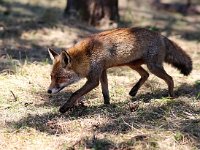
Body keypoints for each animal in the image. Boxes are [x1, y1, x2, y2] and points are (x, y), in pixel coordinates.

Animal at [47, 27, 192, 113]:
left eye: (59, 78)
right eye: (51, 77)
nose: (48, 91)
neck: (87, 56)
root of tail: (160, 35)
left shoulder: (94, 79)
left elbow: (75, 93)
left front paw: (64, 108)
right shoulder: (103, 71)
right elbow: (105, 92)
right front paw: (107, 104)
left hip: (153, 66)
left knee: (170, 78)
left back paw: (171, 96)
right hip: (132, 64)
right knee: (145, 74)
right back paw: (133, 91)